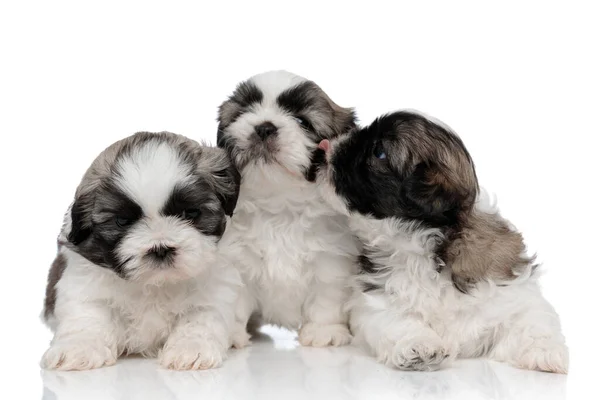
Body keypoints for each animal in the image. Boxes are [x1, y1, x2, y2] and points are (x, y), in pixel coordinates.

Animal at [41, 132, 243, 372]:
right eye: (122, 221)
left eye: (190, 213)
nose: (161, 248)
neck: (155, 284)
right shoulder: (84, 285)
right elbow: (87, 316)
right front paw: (79, 347)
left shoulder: (214, 289)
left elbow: (201, 317)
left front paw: (191, 348)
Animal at [217, 70, 360, 346]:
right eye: (243, 112)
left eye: (303, 122)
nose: (264, 127)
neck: (280, 205)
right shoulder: (238, 258)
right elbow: (235, 299)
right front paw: (232, 334)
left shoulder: (331, 261)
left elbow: (326, 297)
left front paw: (324, 331)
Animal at [316, 111, 568, 374]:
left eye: (379, 152)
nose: (325, 144)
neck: (427, 251)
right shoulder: (376, 299)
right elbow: (396, 321)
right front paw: (419, 347)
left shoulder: (510, 291)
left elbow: (532, 319)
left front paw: (544, 351)